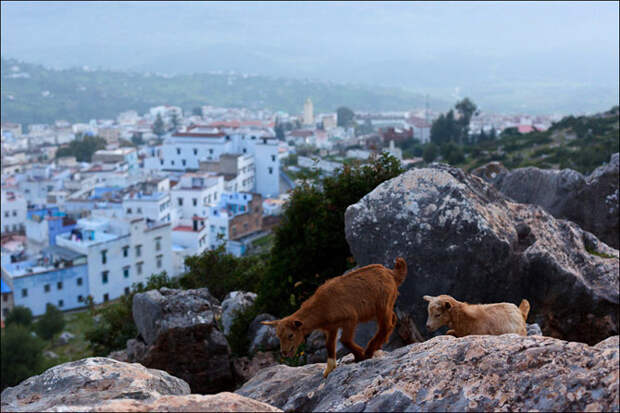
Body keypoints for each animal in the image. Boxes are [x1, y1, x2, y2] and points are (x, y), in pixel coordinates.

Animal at [262, 258, 406, 376]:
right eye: (278, 336)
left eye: (290, 335)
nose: (284, 352)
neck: (321, 307)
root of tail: (392, 274)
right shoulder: (331, 328)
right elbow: (329, 345)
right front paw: (329, 369)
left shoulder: (350, 319)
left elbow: (345, 340)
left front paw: (360, 356)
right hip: (382, 308)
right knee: (392, 320)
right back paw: (377, 346)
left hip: (383, 305)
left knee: (385, 325)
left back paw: (370, 350)